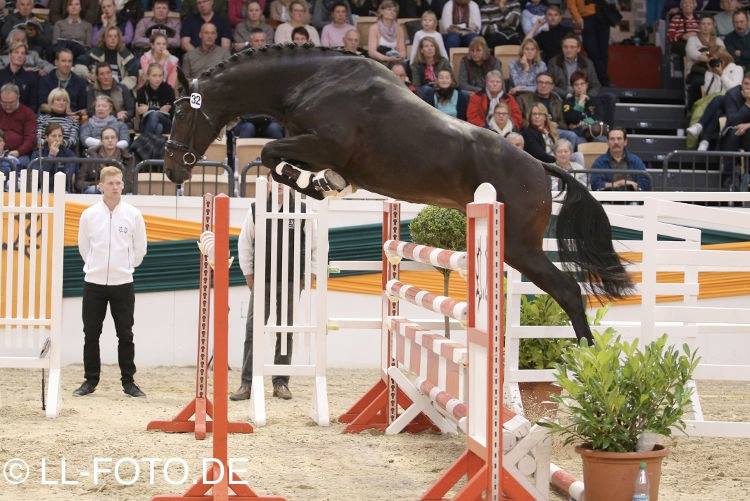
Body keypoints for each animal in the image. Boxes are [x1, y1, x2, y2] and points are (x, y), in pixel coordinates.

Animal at [164, 44, 636, 344]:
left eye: (181, 114)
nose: (171, 168)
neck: (312, 80)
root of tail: (541, 168)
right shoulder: (312, 146)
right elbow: (275, 156)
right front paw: (325, 184)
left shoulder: (322, 145)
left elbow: (269, 153)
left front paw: (318, 186)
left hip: (521, 247)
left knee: (568, 291)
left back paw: (580, 363)